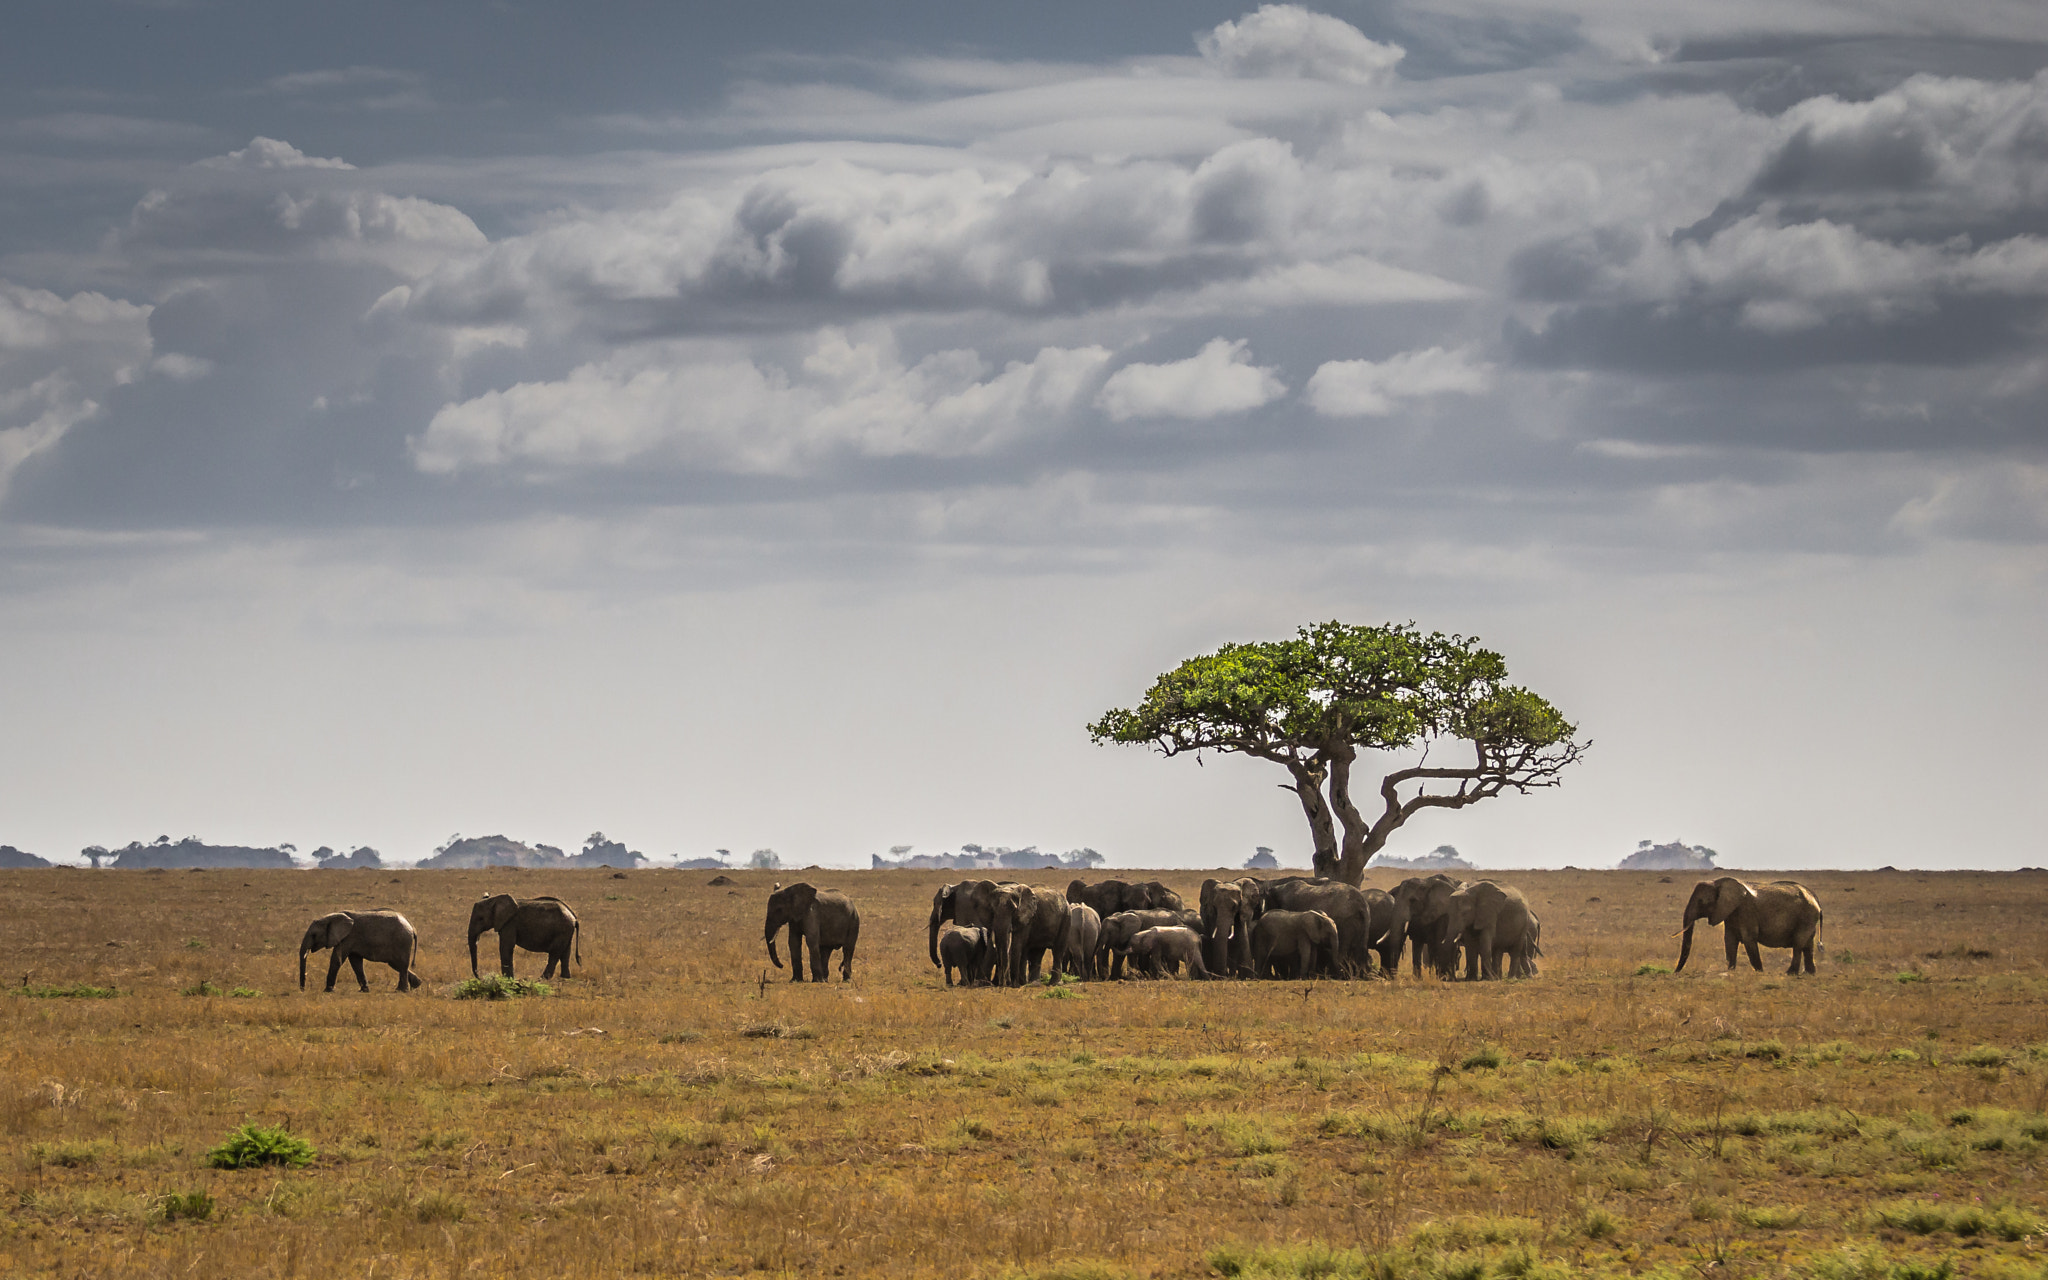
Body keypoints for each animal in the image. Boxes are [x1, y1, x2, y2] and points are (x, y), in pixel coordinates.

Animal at [1679, 872, 1826, 974]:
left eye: (1701, 902)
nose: (1676, 973)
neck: (1717, 882)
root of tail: (1816, 900)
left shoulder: (1746, 911)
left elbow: (1749, 940)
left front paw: (1760, 973)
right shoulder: (1730, 913)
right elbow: (1730, 940)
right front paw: (1730, 971)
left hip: (1806, 917)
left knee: (1798, 944)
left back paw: (1790, 974)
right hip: (1808, 919)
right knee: (1808, 944)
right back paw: (1808, 974)